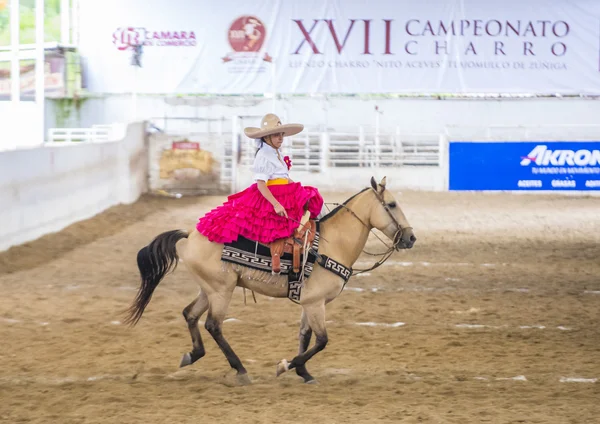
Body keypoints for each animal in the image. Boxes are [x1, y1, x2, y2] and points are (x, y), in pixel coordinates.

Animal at [124, 176, 414, 384]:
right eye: (391, 204)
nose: (411, 238)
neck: (331, 245)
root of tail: (189, 235)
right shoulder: (316, 303)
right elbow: (321, 340)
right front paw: (286, 366)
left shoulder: (309, 302)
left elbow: (305, 335)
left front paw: (304, 373)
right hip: (221, 291)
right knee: (213, 325)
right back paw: (240, 370)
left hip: (209, 290)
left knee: (190, 315)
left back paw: (192, 355)